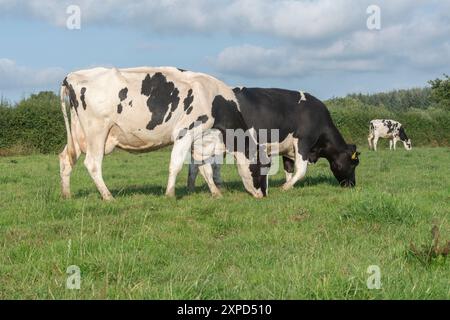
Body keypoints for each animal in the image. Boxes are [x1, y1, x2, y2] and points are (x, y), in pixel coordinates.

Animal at [59, 66, 268, 200]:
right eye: (260, 168)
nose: (264, 195)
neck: (212, 97)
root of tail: (72, 75)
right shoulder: (185, 131)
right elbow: (176, 164)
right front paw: (169, 194)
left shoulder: (200, 138)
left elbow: (203, 167)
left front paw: (216, 193)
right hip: (97, 132)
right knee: (92, 164)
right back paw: (108, 196)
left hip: (78, 133)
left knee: (66, 159)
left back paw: (67, 195)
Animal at [188, 86, 360, 190]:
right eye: (354, 164)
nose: (352, 185)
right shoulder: (303, 142)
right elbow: (301, 169)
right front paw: (286, 187)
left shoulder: (288, 147)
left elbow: (289, 168)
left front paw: (288, 184)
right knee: (202, 165)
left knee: (195, 166)